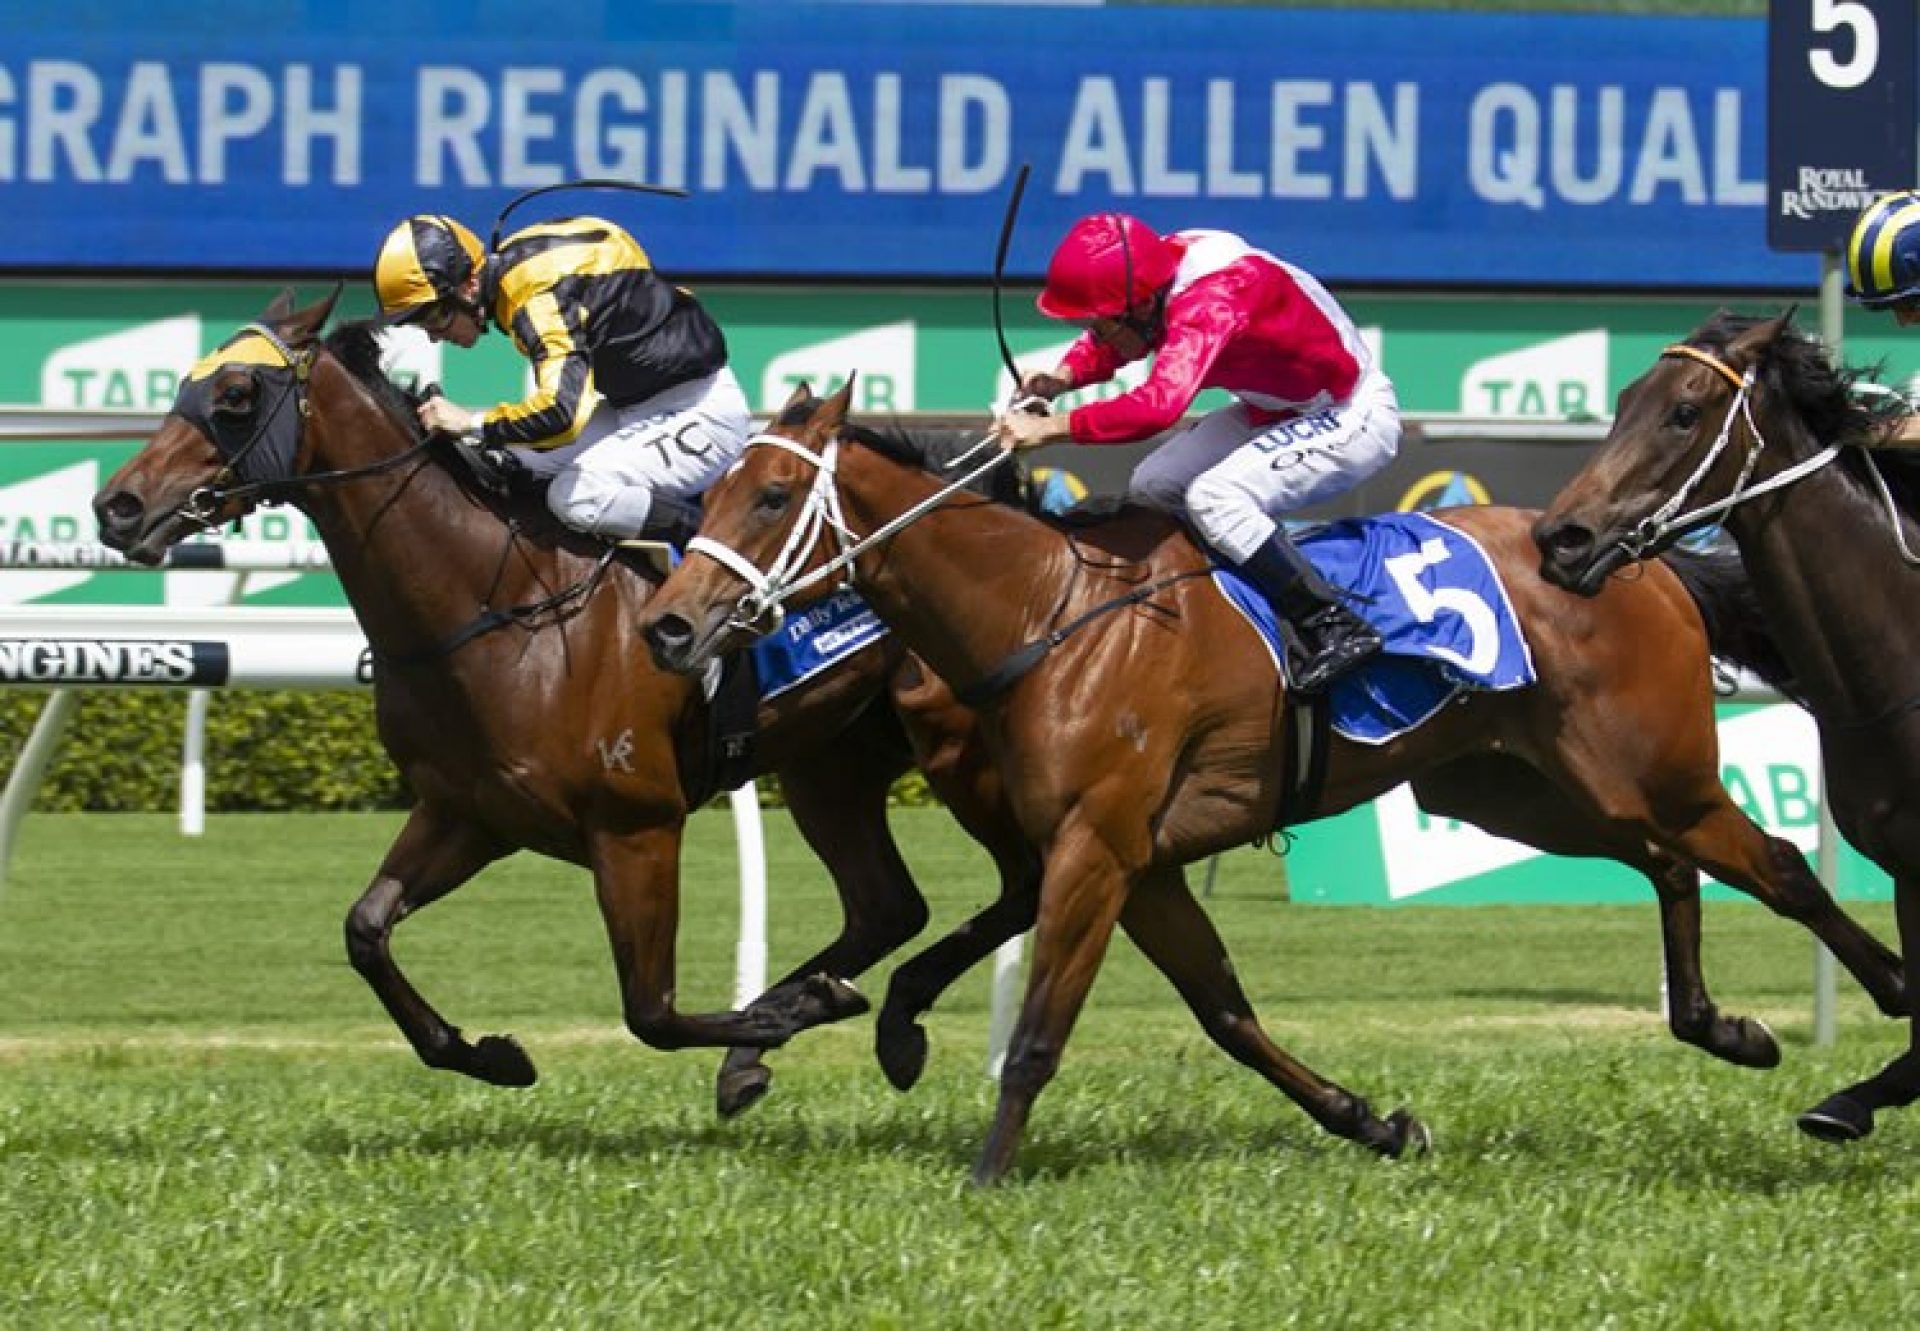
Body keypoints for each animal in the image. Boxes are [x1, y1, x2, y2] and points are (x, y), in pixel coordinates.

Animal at [90, 288, 1044, 1113]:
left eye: (237, 393)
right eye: (185, 384)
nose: (117, 504)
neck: (500, 605)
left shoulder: (638, 826)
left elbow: (651, 1011)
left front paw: (793, 1010)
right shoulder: (467, 812)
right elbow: (365, 929)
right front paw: (488, 1054)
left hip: (960, 751)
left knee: (1022, 883)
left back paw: (878, 1021)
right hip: (831, 762)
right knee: (890, 904)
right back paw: (800, 1033)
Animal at [633, 378, 1904, 1175]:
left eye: (771, 496)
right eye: (713, 489)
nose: (667, 625)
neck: (1052, 611)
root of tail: (1637, 558)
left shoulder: (1097, 847)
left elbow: (1042, 1026)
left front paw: (985, 1175)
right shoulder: (1138, 863)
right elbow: (1227, 1010)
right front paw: (1375, 1122)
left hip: (1650, 769)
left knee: (1777, 862)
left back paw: (1878, 1006)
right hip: (1522, 787)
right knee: (1667, 863)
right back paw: (1721, 1023)